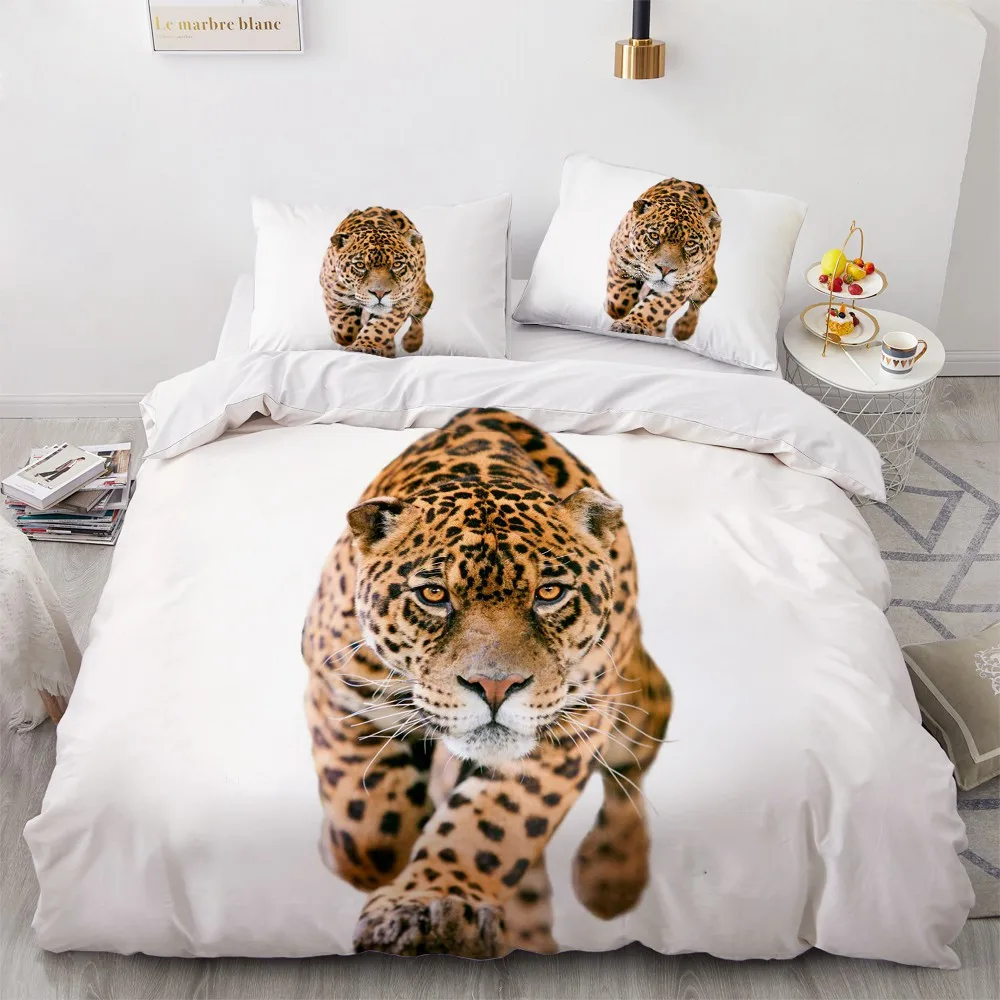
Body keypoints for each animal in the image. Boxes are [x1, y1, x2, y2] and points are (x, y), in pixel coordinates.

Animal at [302, 408, 672, 958]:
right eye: (434, 594)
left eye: (550, 593)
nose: (495, 687)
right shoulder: (341, 692)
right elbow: (367, 828)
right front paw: (355, 851)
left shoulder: (568, 729)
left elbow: (492, 827)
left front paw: (434, 902)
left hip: (633, 703)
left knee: (634, 765)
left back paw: (610, 877)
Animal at [319, 206, 434, 358]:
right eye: (360, 265)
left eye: (397, 264)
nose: (379, 293)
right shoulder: (333, 293)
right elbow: (344, 329)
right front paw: (339, 335)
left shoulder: (402, 302)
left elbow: (381, 328)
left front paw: (363, 346)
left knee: (425, 305)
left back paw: (411, 342)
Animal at [605, 178, 721, 342]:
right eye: (654, 236)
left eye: (690, 244)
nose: (665, 269)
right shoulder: (621, 258)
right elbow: (618, 302)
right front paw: (614, 307)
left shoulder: (684, 285)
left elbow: (656, 307)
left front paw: (631, 325)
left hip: (705, 281)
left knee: (700, 300)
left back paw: (683, 329)